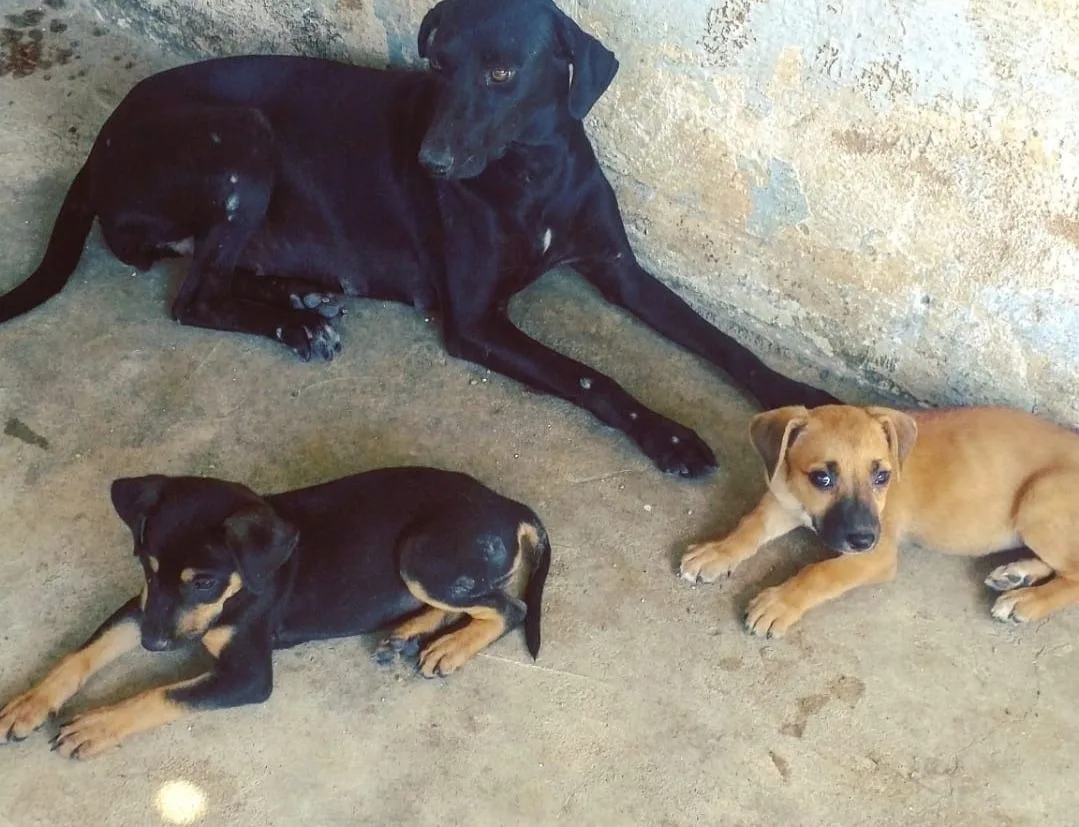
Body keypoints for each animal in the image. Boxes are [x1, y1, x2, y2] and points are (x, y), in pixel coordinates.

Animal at [0, 0, 832, 475]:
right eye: (438, 62)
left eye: (500, 72)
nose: (429, 161)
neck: (531, 172)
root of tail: (99, 147)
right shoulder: (474, 322)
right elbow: (594, 377)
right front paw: (668, 435)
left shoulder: (616, 267)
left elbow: (716, 339)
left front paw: (796, 392)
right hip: (242, 142)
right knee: (193, 295)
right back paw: (293, 321)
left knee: (223, 275)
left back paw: (301, 297)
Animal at [0, 466, 552, 760]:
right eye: (146, 565)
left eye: (204, 581)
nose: (152, 646)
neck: (239, 587)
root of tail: (508, 506)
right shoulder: (143, 607)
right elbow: (81, 654)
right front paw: (29, 704)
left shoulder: (246, 676)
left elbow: (159, 694)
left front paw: (95, 726)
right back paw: (407, 634)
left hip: (421, 555)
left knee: (509, 606)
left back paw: (449, 648)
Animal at [677, 405, 1079, 639]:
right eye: (822, 478)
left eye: (882, 476)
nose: (863, 539)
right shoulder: (784, 500)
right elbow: (749, 526)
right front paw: (716, 551)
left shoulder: (876, 556)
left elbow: (819, 572)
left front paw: (779, 603)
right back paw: (1017, 574)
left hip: (1038, 497)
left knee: (1074, 576)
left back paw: (1025, 599)